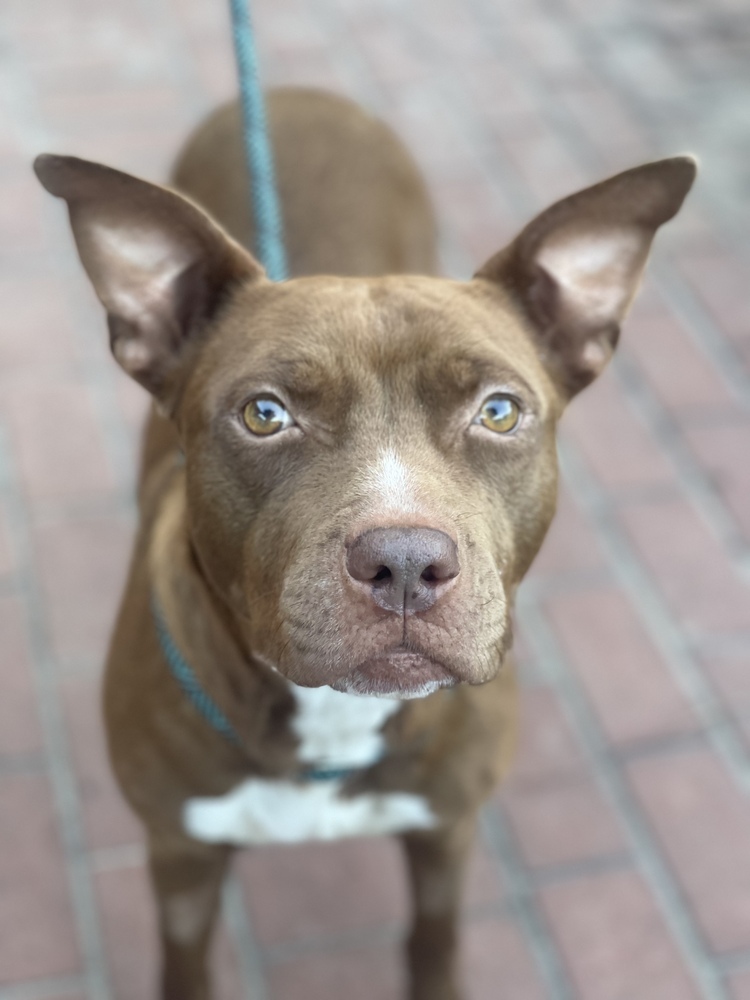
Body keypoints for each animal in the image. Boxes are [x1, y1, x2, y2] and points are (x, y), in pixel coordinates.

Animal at [33, 88, 692, 1000]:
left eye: (498, 411)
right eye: (264, 414)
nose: (406, 563)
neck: (332, 723)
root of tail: (297, 90)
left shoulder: (446, 832)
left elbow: (433, 942)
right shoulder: (180, 858)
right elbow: (186, 965)